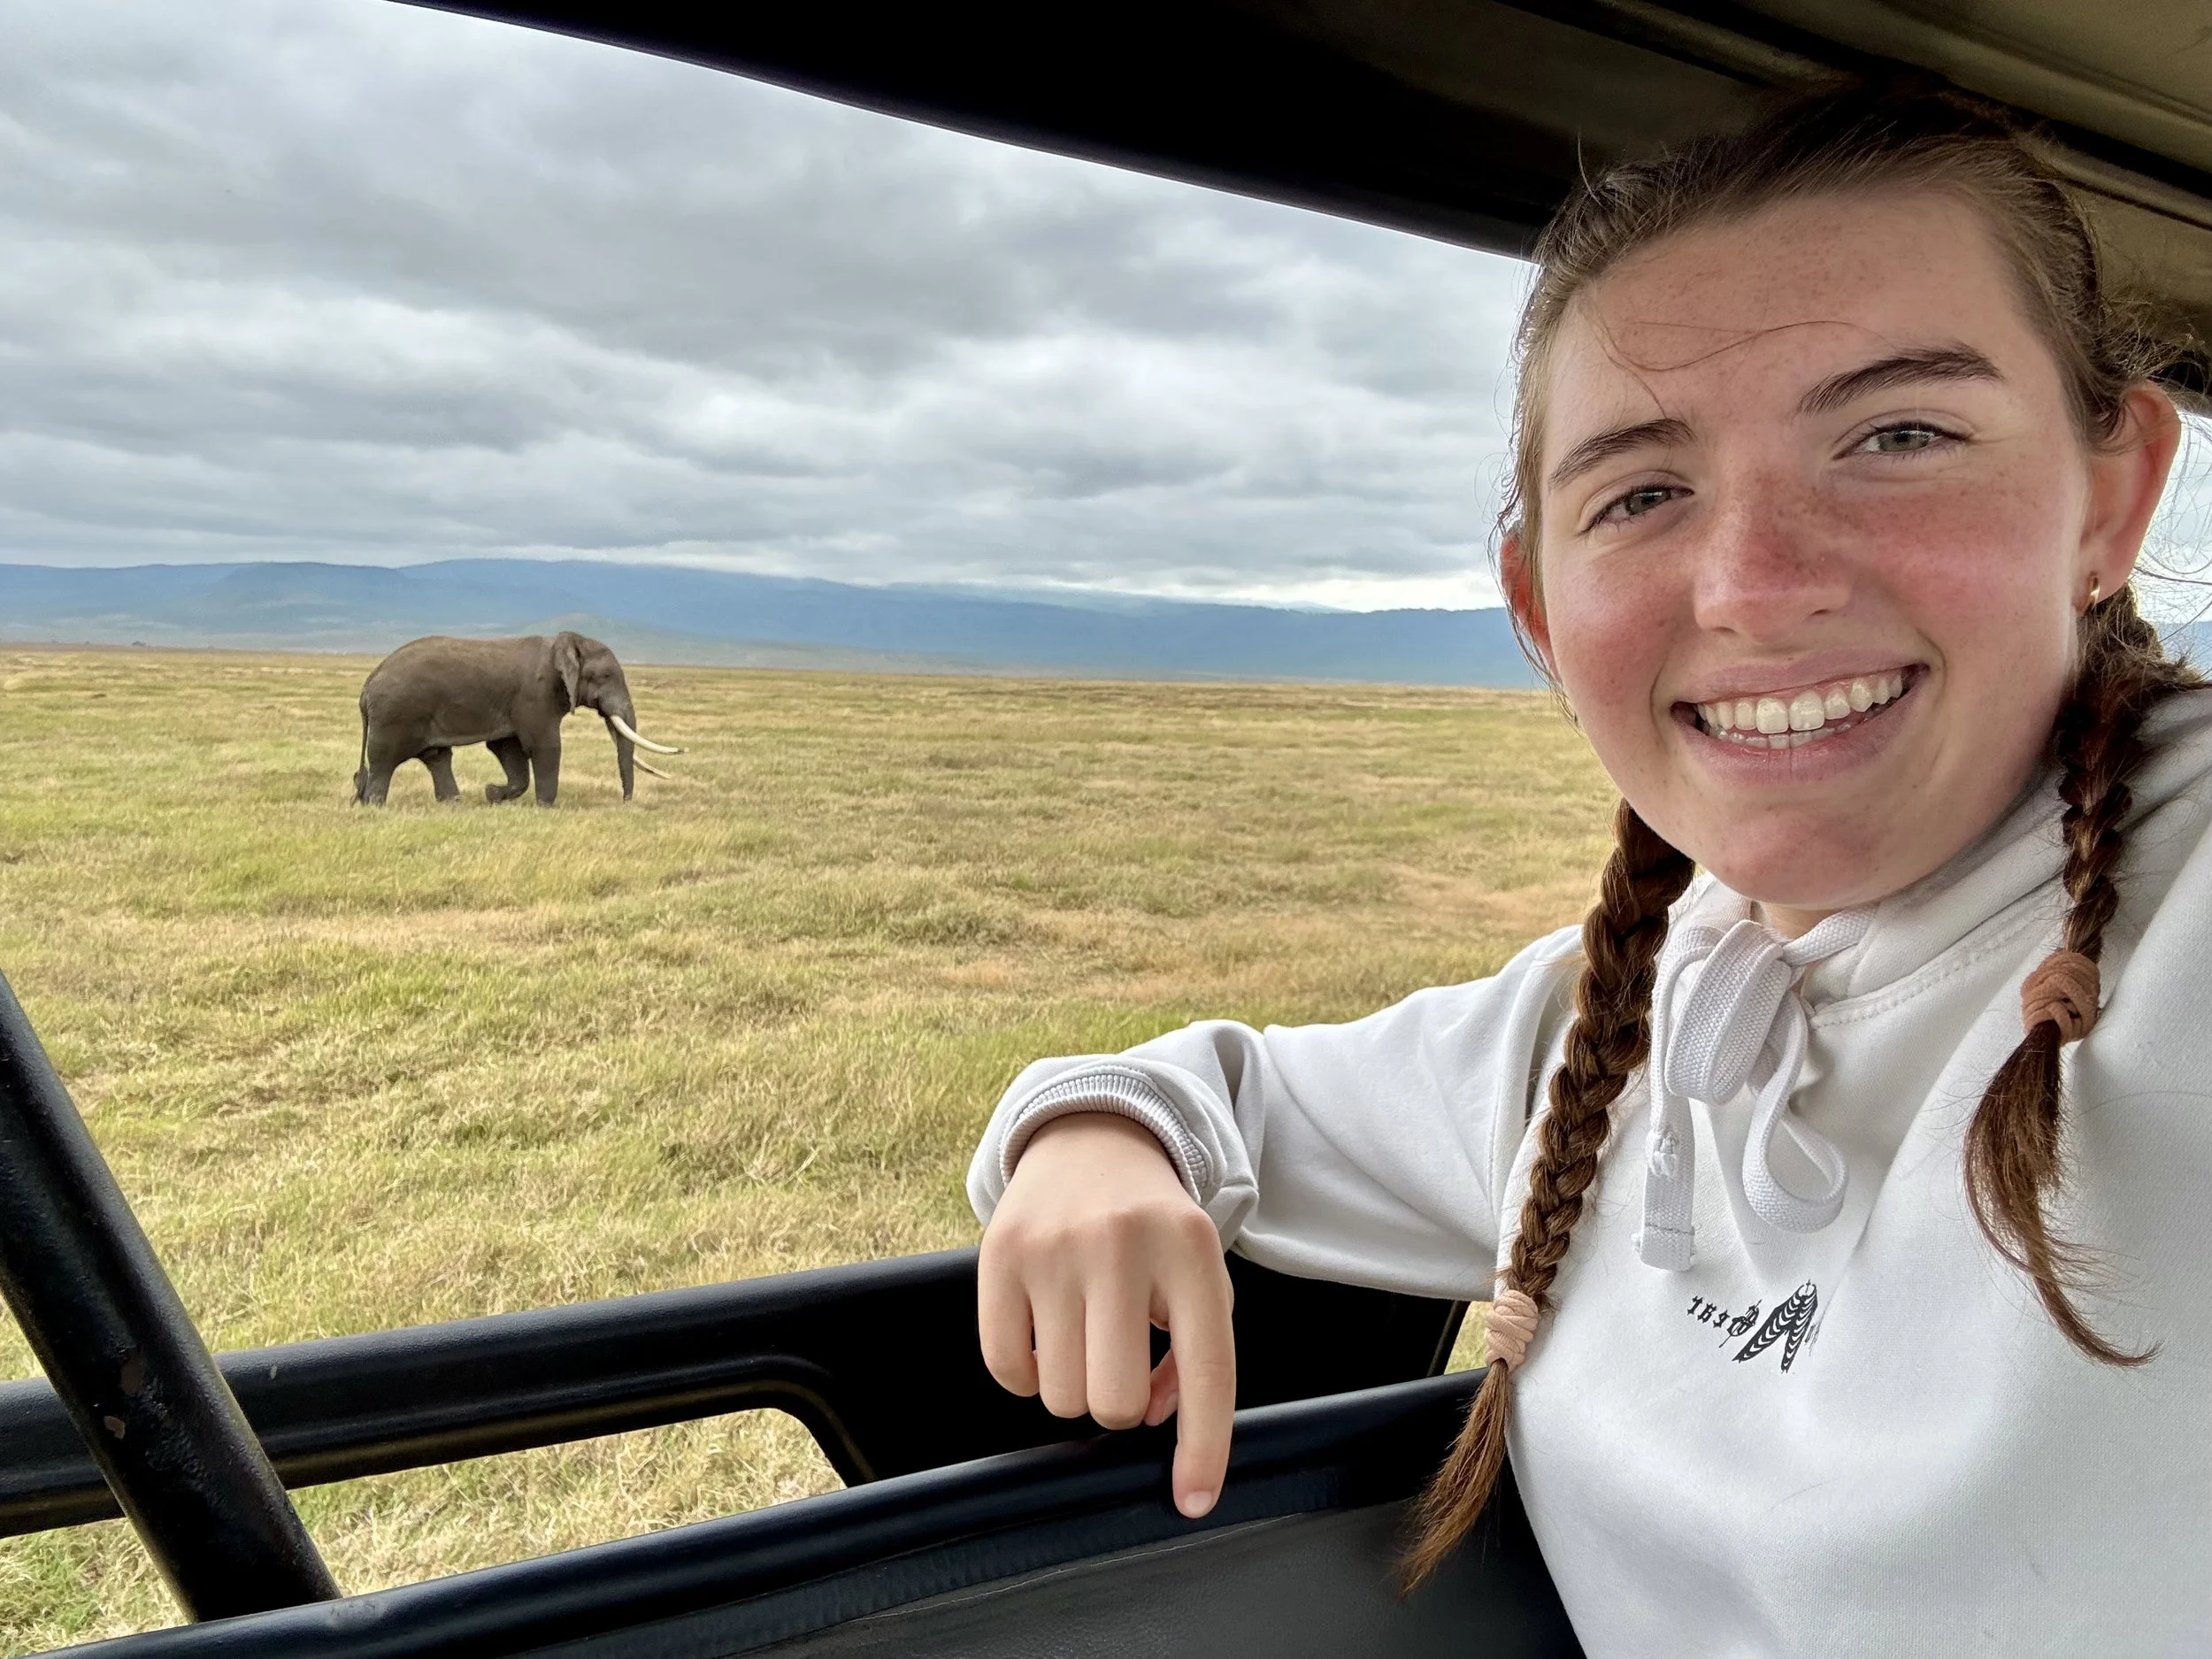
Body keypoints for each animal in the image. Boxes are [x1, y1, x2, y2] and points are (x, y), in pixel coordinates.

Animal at [353, 632, 682, 806]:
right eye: (605, 676)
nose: (625, 802)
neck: (563, 644)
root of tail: (367, 685)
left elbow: (506, 748)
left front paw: (492, 794)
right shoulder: (535, 696)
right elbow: (545, 746)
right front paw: (545, 807)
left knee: (437, 757)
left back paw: (454, 804)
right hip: (396, 713)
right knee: (385, 761)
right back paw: (375, 806)